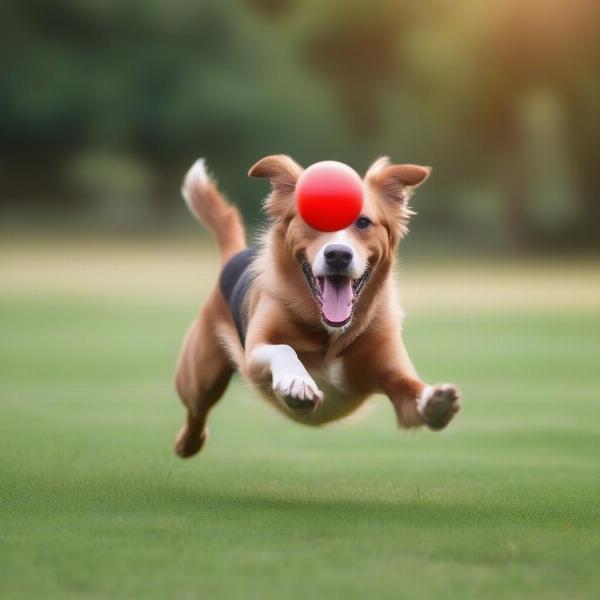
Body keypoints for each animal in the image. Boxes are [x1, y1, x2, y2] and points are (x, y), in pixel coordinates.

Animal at [172, 156, 460, 460]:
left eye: (363, 222)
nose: (338, 255)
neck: (330, 333)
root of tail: (234, 257)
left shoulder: (394, 377)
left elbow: (411, 389)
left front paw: (435, 401)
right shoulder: (254, 354)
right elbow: (283, 348)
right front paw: (297, 382)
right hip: (198, 377)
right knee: (197, 409)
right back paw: (187, 444)